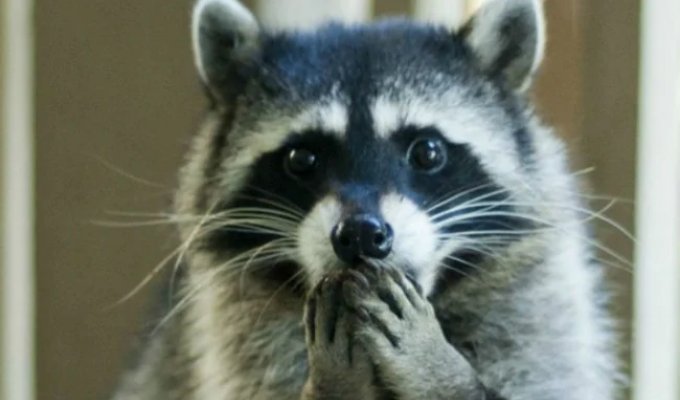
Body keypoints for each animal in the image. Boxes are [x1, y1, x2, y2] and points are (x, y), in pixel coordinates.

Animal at [112, 0, 621, 399]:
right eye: (301, 158)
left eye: (427, 151)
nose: (360, 233)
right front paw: (337, 383)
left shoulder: (541, 317)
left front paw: (436, 370)